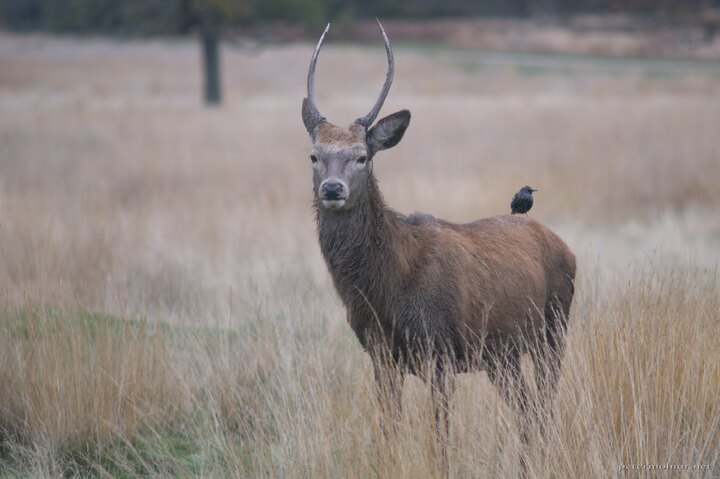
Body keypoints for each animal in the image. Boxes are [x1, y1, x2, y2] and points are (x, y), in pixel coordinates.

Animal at [300, 20, 576, 474]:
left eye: (362, 156)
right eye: (314, 155)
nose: (333, 188)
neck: (386, 292)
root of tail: (566, 247)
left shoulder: (440, 349)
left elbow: (441, 437)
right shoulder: (380, 355)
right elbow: (388, 430)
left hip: (554, 328)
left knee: (544, 401)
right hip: (501, 353)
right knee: (525, 405)